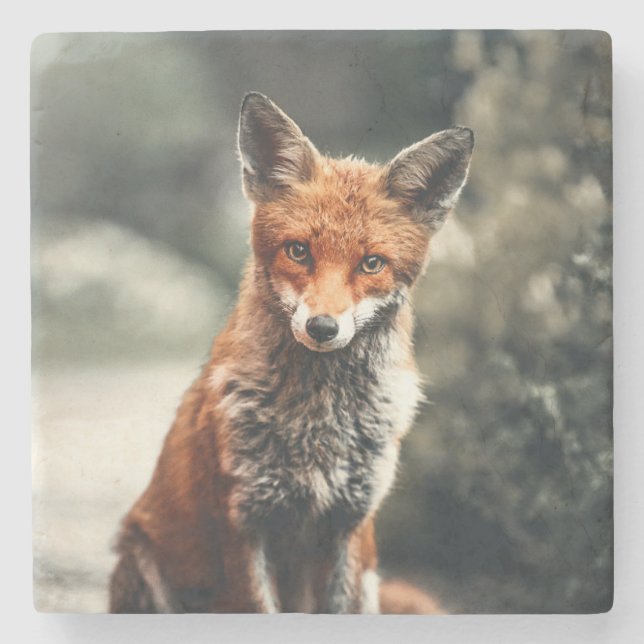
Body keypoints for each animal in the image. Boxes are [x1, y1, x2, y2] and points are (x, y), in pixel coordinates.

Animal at [109, 92, 473, 614]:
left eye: (372, 263)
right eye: (298, 251)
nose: (322, 327)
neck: (318, 423)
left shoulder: (349, 522)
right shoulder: (243, 520)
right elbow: (257, 604)